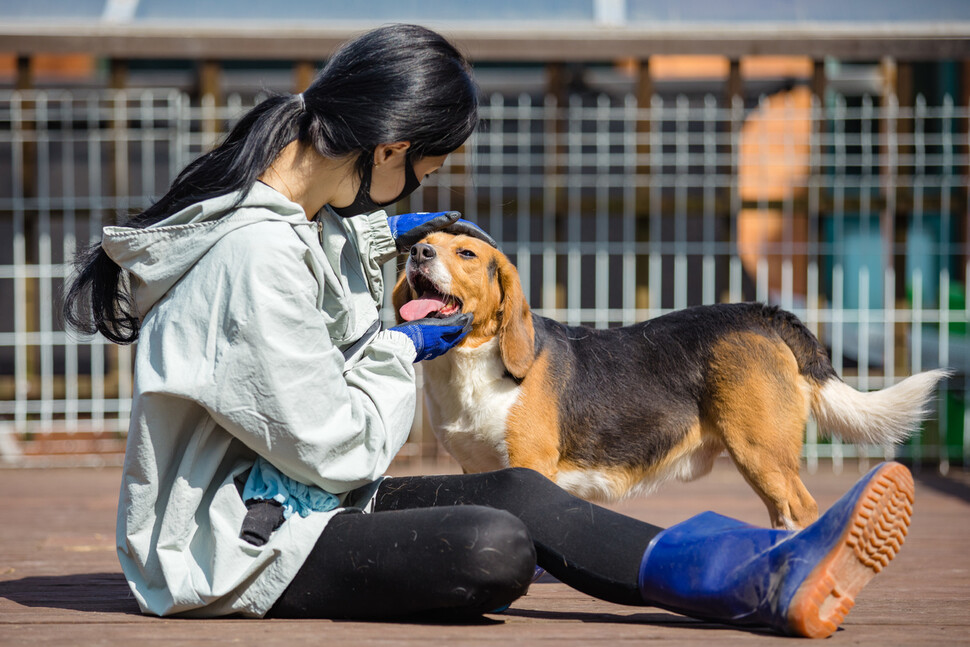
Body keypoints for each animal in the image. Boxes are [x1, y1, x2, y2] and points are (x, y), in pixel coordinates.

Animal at [392, 230, 944, 528]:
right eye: (425, 244)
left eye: (466, 254)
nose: (418, 253)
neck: (471, 362)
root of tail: (761, 313)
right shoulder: (477, 470)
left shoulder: (530, 467)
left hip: (761, 452)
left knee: (803, 511)